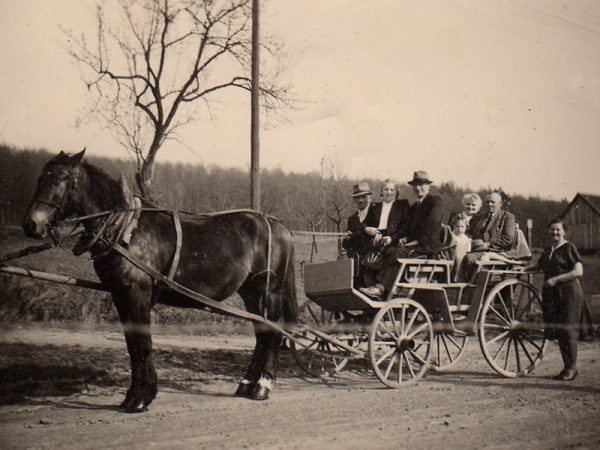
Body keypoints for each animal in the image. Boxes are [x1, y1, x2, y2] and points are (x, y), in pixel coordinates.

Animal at [22, 149, 298, 414]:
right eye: (40, 178)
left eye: (60, 179)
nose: (32, 224)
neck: (125, 229)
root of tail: (276, 224)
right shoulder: (120, 295)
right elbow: (132, 345)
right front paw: (133, 396)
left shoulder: (136, 294)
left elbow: (142, 343)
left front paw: (141, 398)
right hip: (251, 293)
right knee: (261, 334)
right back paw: (247, 384)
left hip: (269, 292)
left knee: (272, 333)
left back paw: (263, 385)